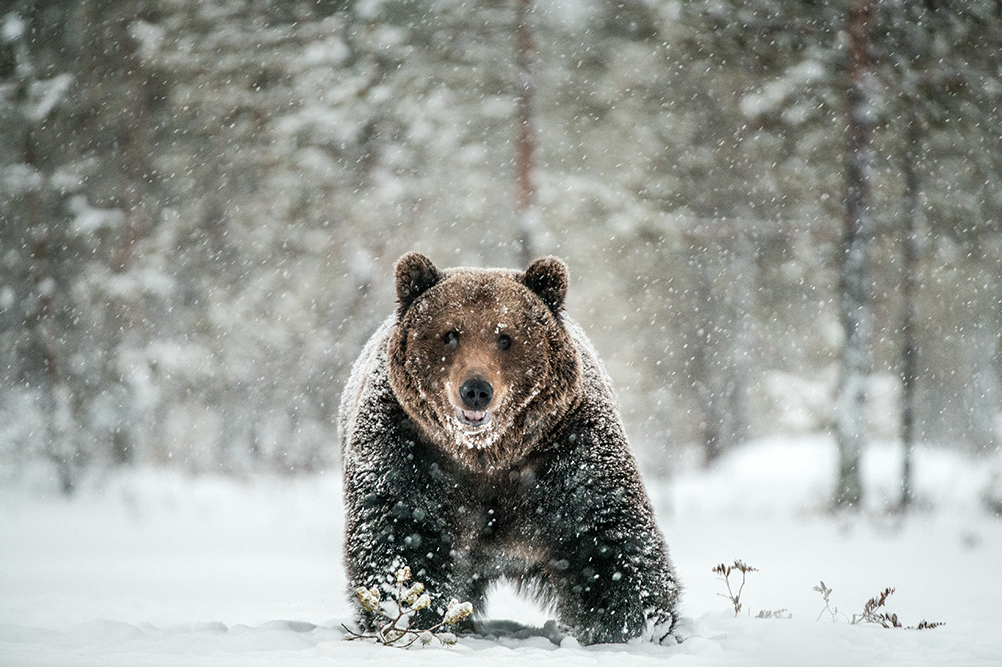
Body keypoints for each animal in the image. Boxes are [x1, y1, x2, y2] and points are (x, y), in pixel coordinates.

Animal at [342, 252, 681, 640]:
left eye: (505, 337)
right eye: (450, 334)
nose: (476, 390)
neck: (487, 454)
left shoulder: (568, 449)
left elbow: (605, 532)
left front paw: (633, 624)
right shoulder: (408, 446)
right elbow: (402, 532)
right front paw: (411, 617)